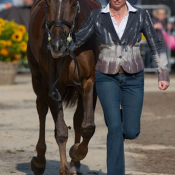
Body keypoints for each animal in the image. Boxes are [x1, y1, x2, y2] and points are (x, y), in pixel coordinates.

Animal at [27, 0, 101, 174]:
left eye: (73, 3)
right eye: (48, 4)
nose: (56, 45)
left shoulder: (89, 82)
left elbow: (88, 126)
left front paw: (77, 152)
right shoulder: (52, 86)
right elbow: (60, 131)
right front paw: (64, 168)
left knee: (77, 118)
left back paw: (75, 164)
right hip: (37, 78)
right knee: (42, 109)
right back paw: (39, 161)